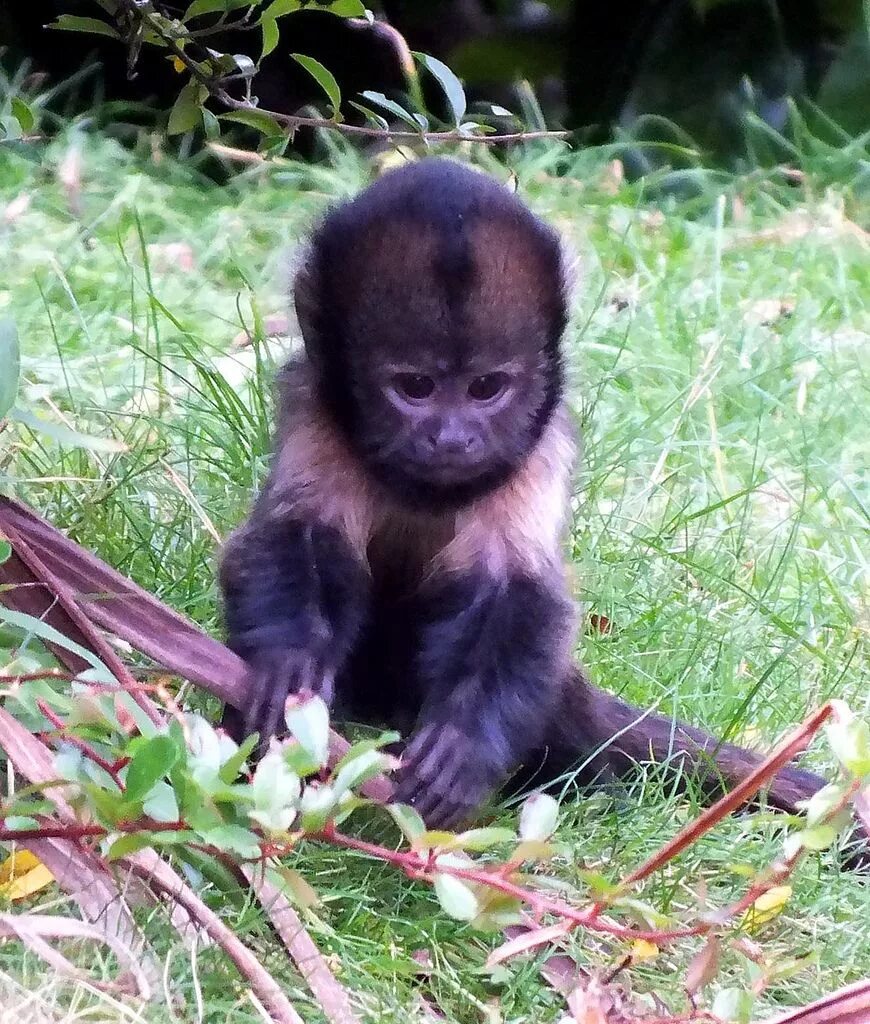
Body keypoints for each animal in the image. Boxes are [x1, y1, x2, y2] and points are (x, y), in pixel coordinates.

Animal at [216, 155, 847, 835]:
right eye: (415, 387)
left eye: (486, 387)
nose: (453, 437)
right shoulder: (313, 409)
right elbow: (293, 537)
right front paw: (290, 661)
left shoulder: (542, 443)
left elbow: (515, 592)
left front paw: (464, 745)